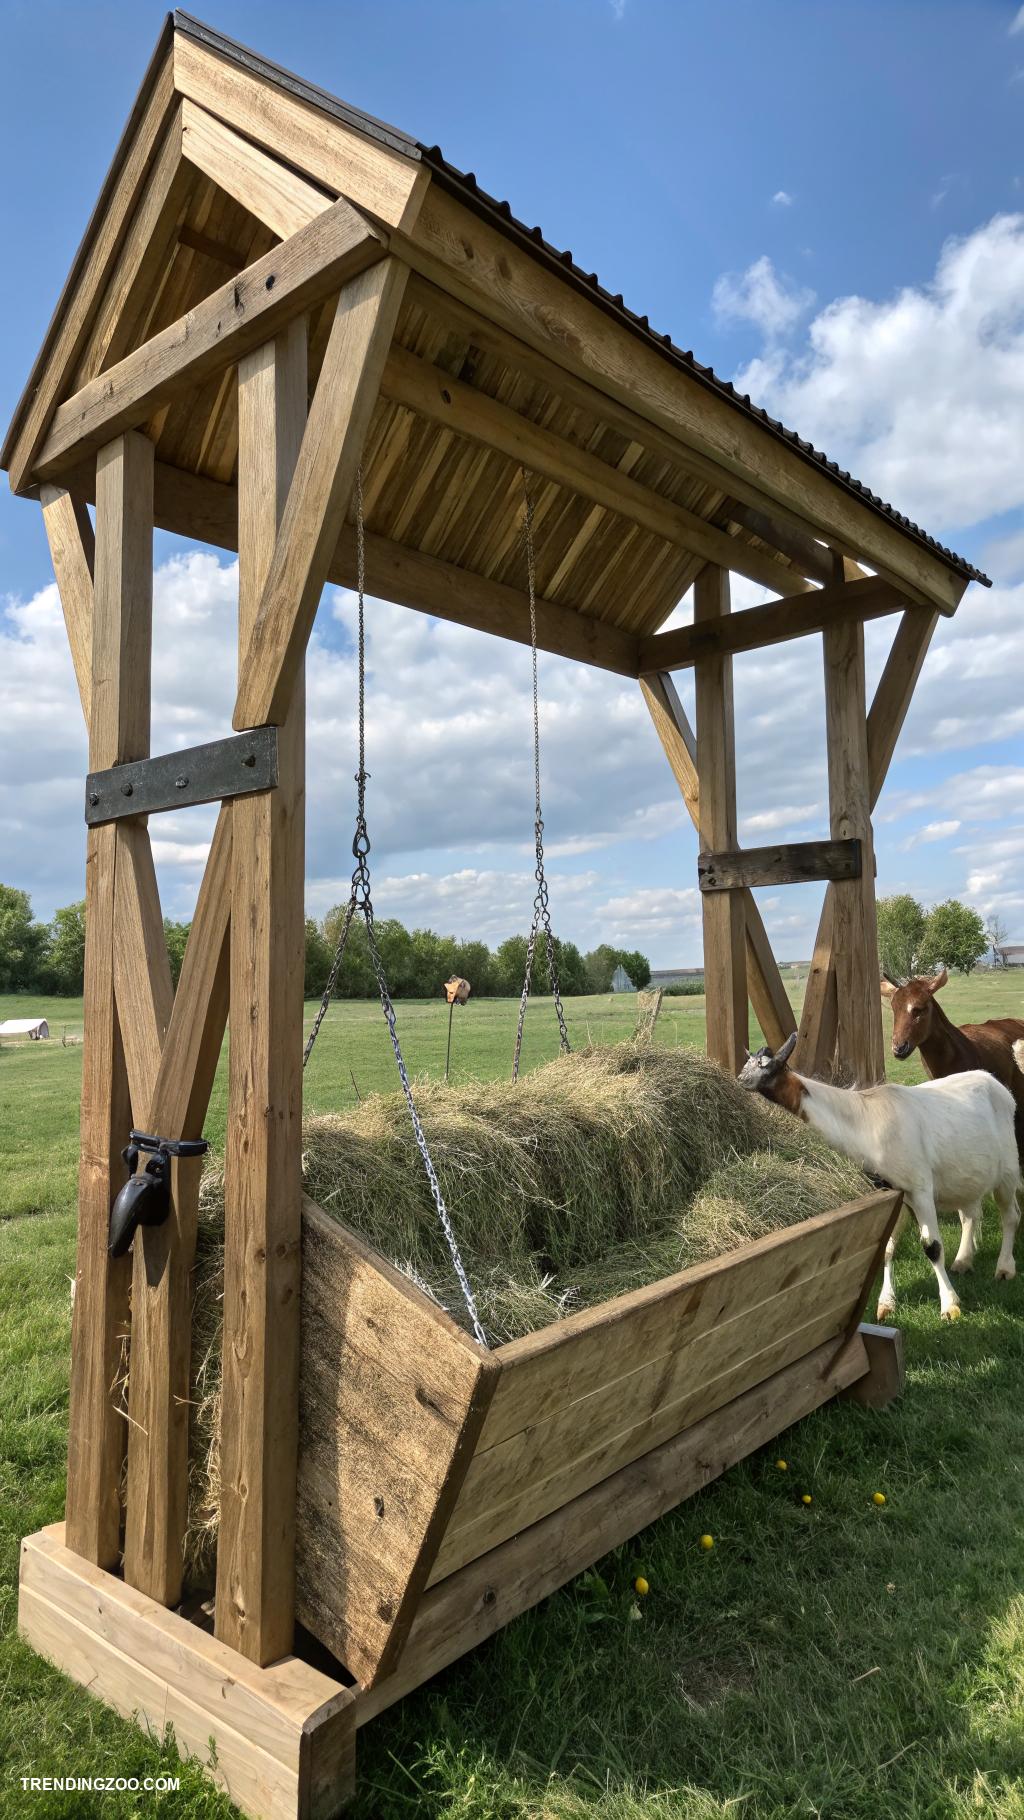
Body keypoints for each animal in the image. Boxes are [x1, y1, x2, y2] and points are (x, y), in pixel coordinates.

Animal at [737, 1033, 1020, 1321]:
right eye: (746, 1063)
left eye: (766, 1066)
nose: (740, 1080)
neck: (866, 1119)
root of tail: (995, 1084)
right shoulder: (892, 1190)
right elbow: (886, 1246)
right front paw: (886, 1303)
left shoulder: (919, 1188)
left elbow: (932, 1247)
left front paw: (949, 1305)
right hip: (964, 1174)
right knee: (969, 1214)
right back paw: (963, 1261)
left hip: (1008, 1170)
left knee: (1010, 1215)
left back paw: (1004, 1268)